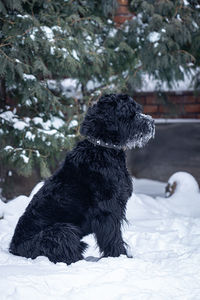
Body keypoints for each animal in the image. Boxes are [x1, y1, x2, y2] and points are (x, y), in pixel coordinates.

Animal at [9, 94, 155, 264]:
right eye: (129, 112)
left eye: (138, 109)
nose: (152, 122)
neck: (102, 148)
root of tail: (13, 248)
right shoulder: (107, 211)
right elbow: (113, 237)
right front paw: (119, 257)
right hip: (61, 231)